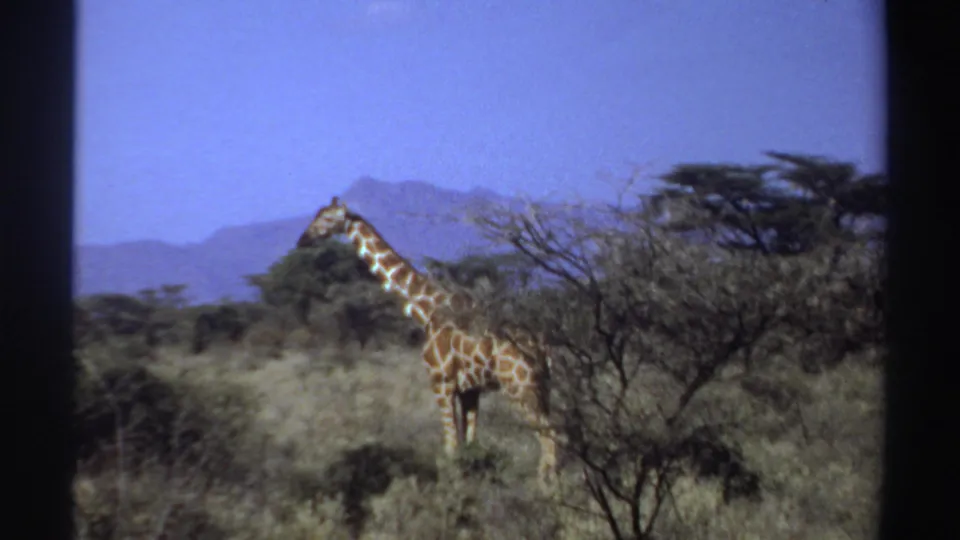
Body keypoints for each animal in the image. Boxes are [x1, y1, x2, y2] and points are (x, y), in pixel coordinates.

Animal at [296, 196, 558, 489]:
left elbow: (451, 447)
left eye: (328, 218)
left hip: (520, 387)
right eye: (317, 214)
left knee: (548, 435)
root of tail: (542, 347)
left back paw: (549, 491)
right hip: (542, 387)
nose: (302, 239)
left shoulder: (441, 384)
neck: (427, 308)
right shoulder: (470, 390)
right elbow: (470, 445)